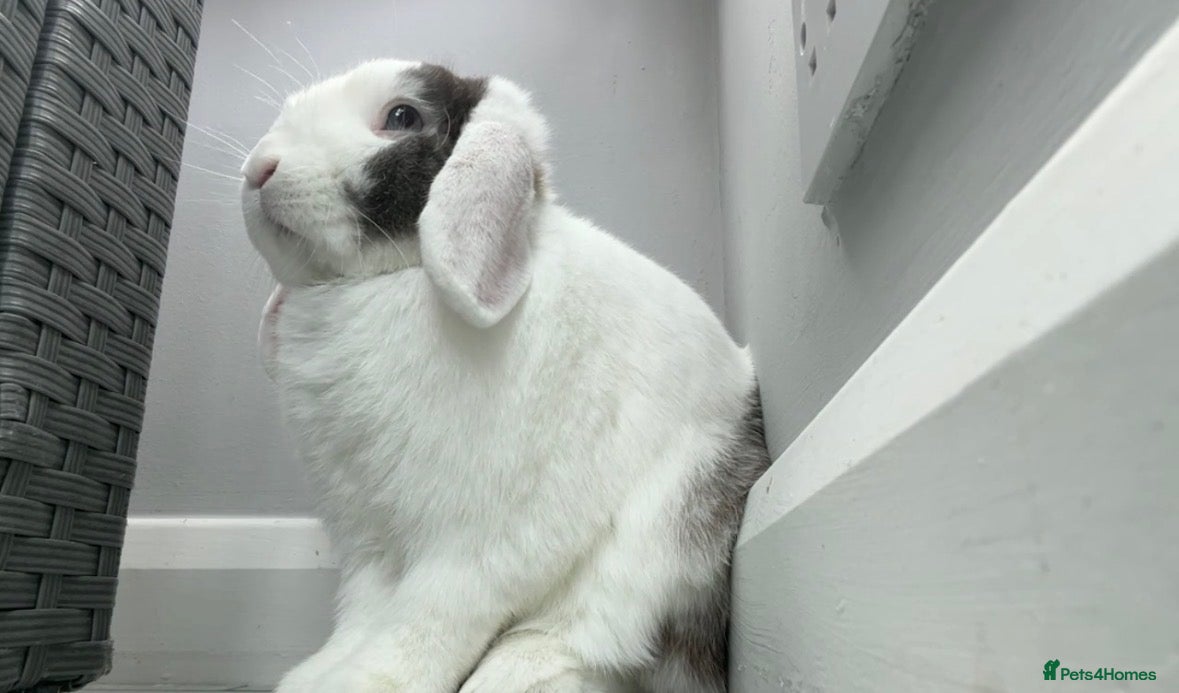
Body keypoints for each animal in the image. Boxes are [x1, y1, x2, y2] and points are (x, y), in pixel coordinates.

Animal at [240, 60, 770, 693]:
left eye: (402, 117)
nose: (258, 167)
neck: (384, 281)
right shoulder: (369, 544)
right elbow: (363, 618)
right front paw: (317, 676)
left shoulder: (473, 545)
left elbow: (426, 624)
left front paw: (367, 682)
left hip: (664, 534)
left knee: (585, 637)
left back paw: (511, 674)